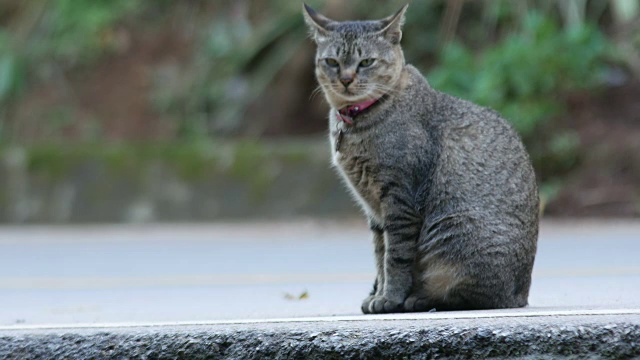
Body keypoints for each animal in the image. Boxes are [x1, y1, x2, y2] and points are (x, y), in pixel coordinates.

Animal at [302, 2, 536, 314]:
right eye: (332, 62)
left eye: (366, 62)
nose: (346, 79)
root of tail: (520, 296)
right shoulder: (374, 209)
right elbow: (380, 254)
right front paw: (378, 295)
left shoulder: (400, 199)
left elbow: (395, 257)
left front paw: (390, 298)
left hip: (454, 228)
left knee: (470, 296)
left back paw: (420, 299)